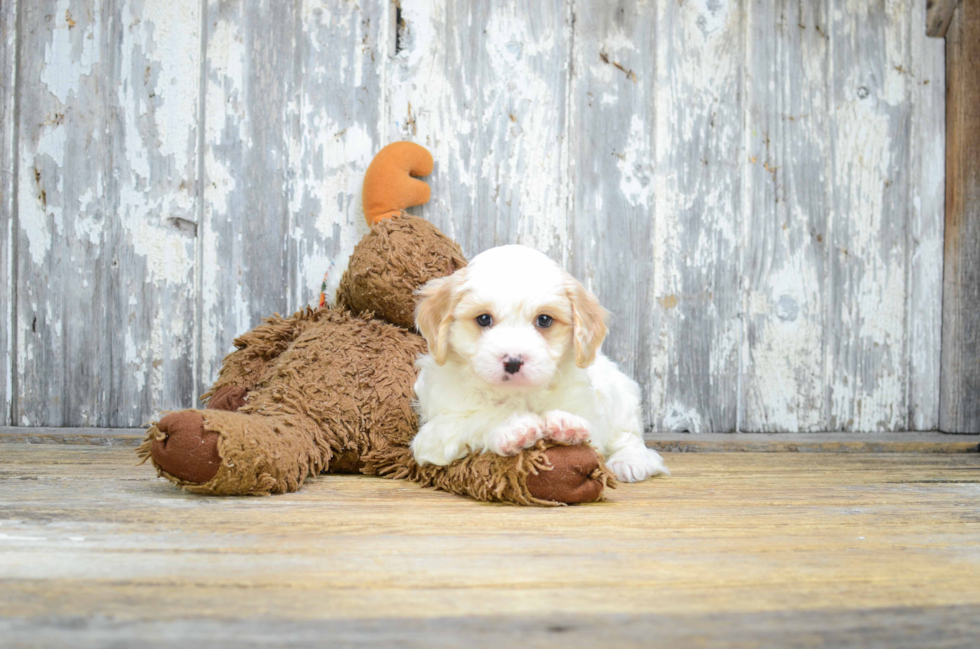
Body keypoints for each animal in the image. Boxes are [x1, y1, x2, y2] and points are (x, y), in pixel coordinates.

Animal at [410, 246, 668, 484]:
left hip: (623, 399)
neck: (518, 394)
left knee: (629, 438)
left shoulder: (586, 409)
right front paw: (514, 429)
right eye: (483, 319)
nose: (513, 361)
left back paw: (631, 461)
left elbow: (592, 432)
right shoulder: (434, 432)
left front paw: (567, 425)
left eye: (544, 320)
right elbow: (479, 418)